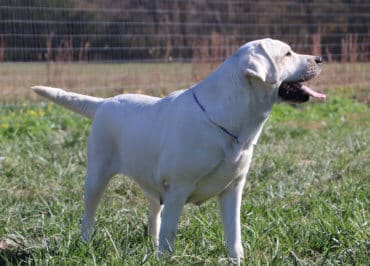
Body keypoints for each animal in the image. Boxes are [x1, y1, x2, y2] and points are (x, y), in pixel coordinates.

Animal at [33, 38, 326, 264]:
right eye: (287, 54)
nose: (320, 58)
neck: (227, 118)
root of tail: (105, 102)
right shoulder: (178, 190)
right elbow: (170, 238)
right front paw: (164, 258)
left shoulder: (233, 189)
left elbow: (234, 237)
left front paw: (237, 260)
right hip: (96, 175)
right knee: (89, 214)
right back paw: (86, 243)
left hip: (149, 181)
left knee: (153, 211)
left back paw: (150, 242)